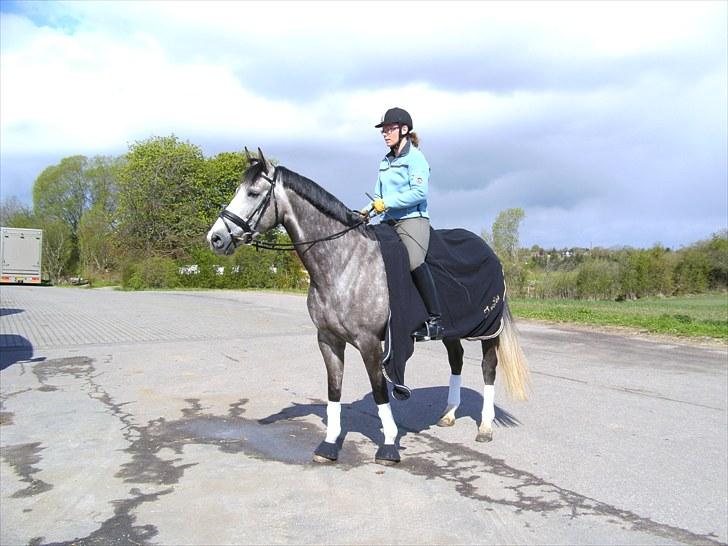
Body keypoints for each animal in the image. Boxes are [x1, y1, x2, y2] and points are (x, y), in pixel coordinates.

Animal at [205, 149, 528, 464]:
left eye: (254, 193)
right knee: (457, 360)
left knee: (488, 369)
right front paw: (329, 444)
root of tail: (489, 251)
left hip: (487, 330)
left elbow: (379, 390)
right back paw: (448, 414)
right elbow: (333, 389)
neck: (344, 262)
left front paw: (388, 445)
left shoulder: (370, 342)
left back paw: (484, 428)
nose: (215, 238)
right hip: (452, 329)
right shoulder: (328, 340)